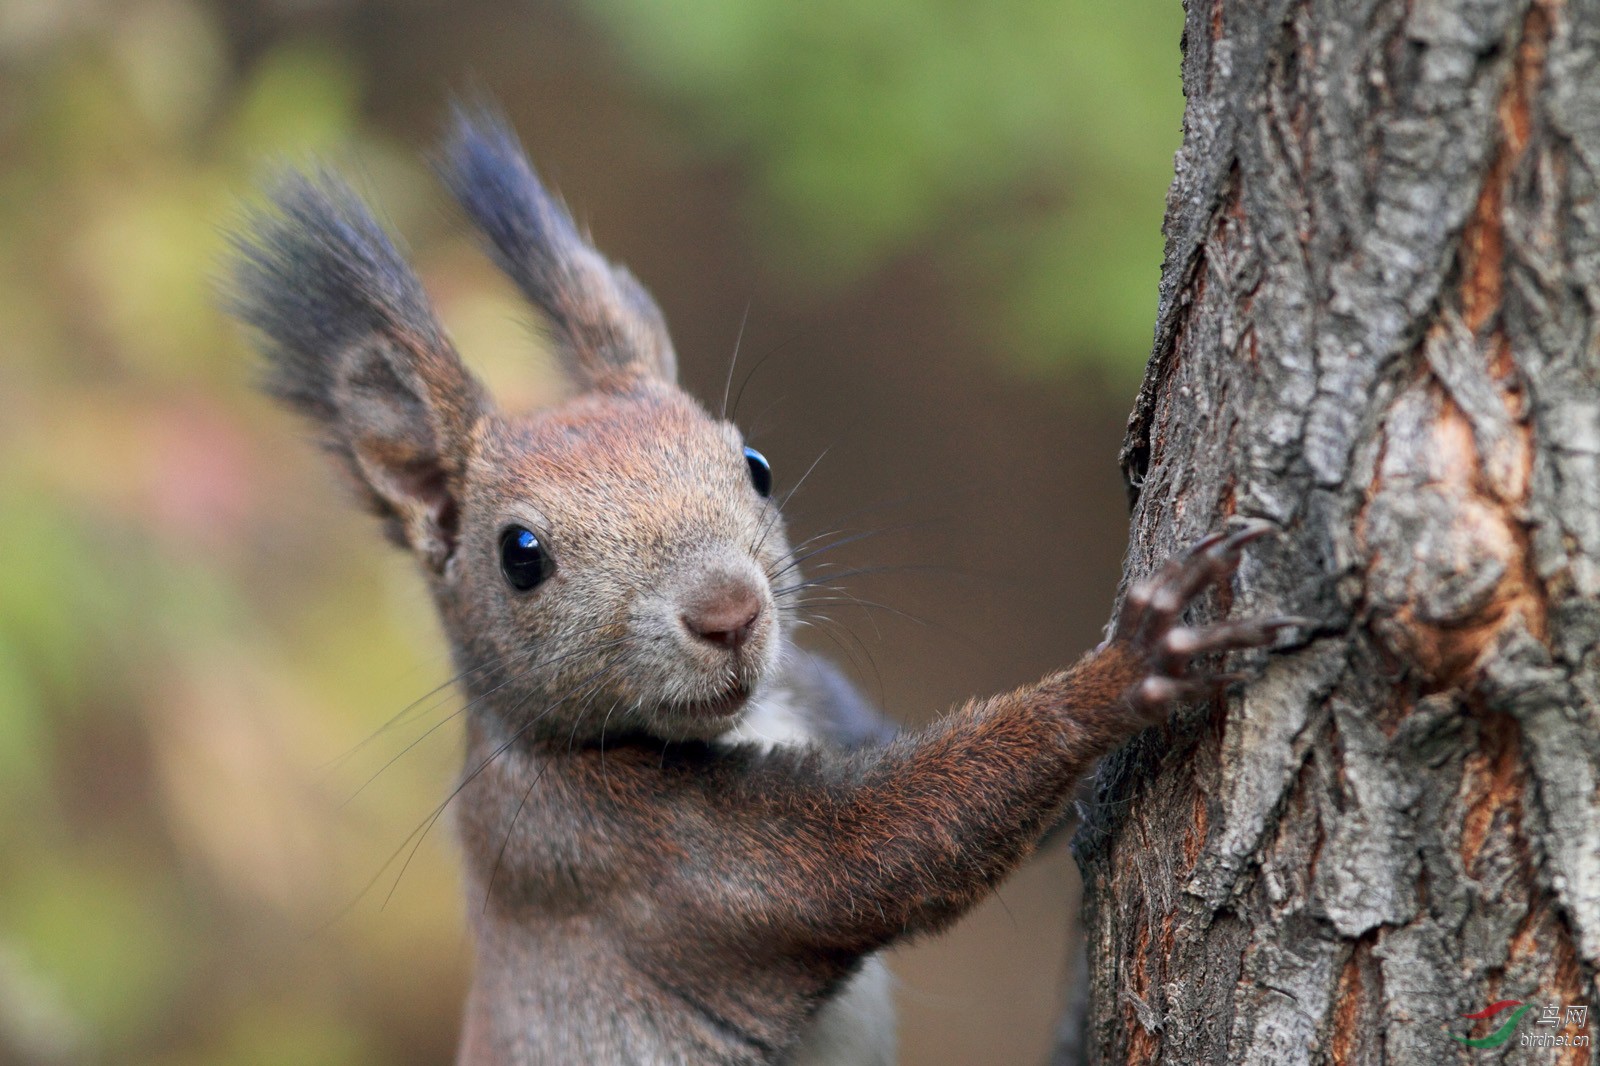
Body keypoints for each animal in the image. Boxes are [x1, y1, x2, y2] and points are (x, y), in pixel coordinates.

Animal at [225, 108, 1299, 1062]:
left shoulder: (821, 697)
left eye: (754, 464)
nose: (730, 613)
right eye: (520, 555)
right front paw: (1130, 664)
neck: (743, 721)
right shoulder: (631, 861)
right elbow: (877, 851)